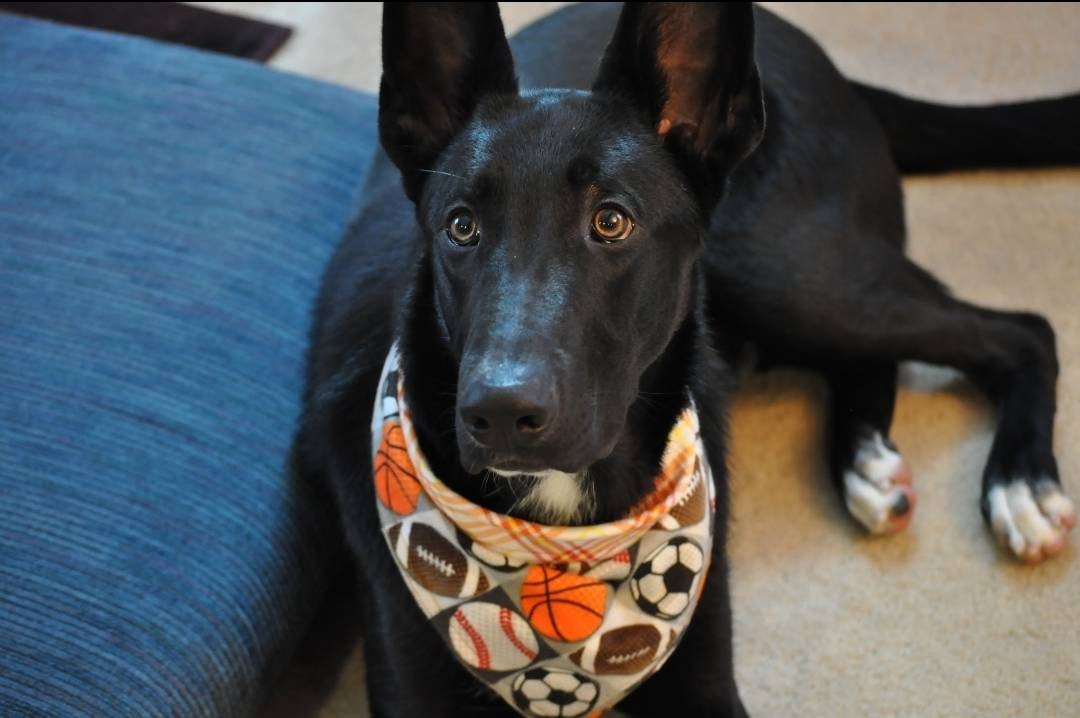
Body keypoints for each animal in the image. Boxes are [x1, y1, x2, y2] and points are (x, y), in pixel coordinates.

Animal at [298, 2, 1080, 712]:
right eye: (461, 227)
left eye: (611, 221)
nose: (498, 412)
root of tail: (816, 55)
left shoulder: (706, 678)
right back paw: (871, 467)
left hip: (782, 269)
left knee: (1022, 331)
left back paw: (1021, 486)